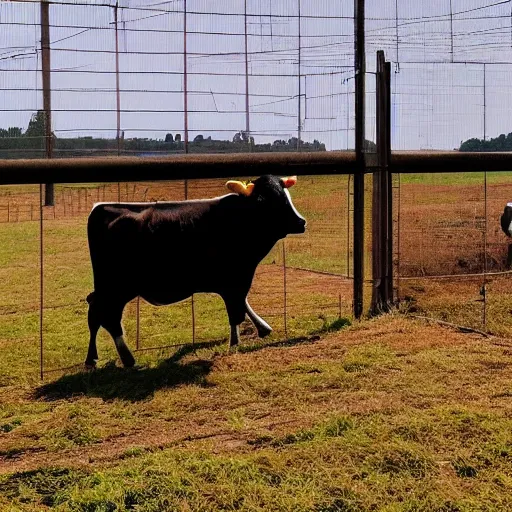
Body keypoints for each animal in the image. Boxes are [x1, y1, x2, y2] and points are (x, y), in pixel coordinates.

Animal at [86, 175, 306, 368]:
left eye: (286, 196)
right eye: (268, 200)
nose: (301, 222)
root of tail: (103, 208)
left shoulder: (236, 278)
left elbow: (241, 303)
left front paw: (262, 328)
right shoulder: (236, 277)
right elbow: (236, 311)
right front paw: (235, 343)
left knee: (96, 311)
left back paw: (97, 358)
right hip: (116, 287)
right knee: (104, 315)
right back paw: (122, 358)